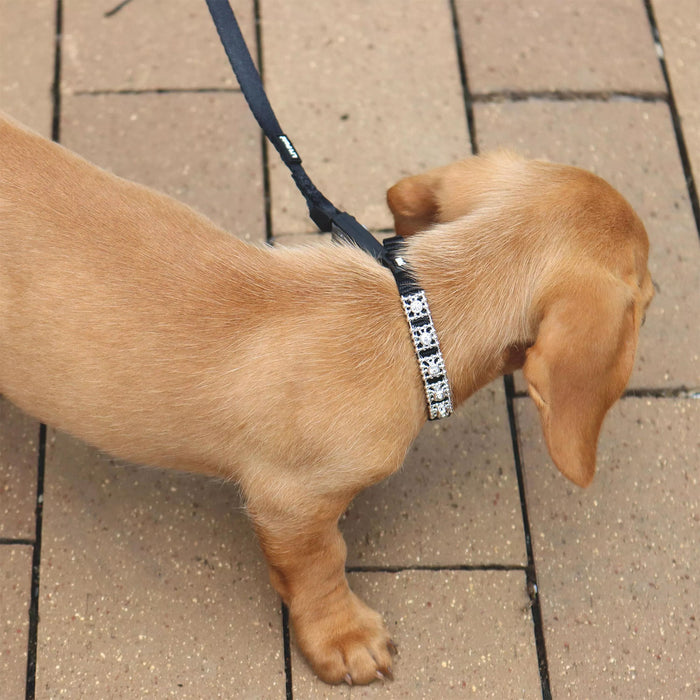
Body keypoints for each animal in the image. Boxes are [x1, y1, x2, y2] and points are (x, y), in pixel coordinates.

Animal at [0, 113, 652, 684]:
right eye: (646, 282)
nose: (662, 283)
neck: (411, 315)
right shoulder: (289, 503)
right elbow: (319, 566)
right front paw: (343, 637)